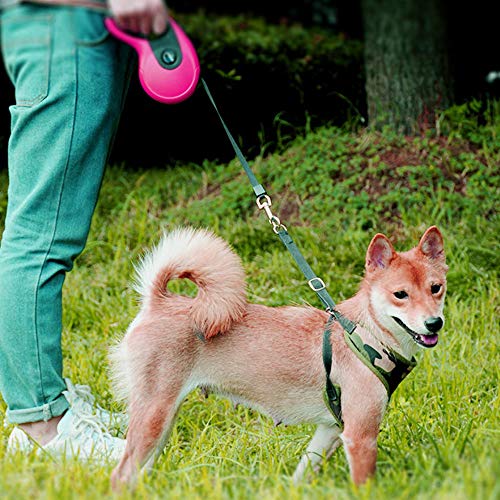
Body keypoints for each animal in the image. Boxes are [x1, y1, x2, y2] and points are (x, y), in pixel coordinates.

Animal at [111, 224, 448, 488]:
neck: (365, 333)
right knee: (121, 475)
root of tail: (158, 301)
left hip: (162, 425)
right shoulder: (360, 437)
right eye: (400, 294)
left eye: (436, 288)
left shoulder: (331, 430)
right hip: (154, 418)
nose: (434, 323)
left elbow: (302, 472)